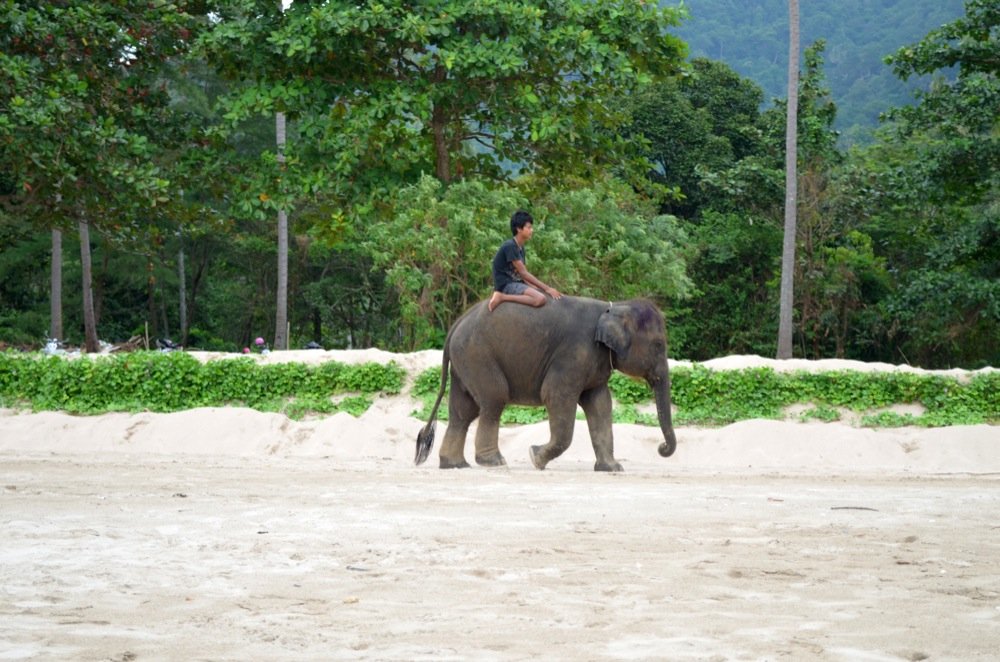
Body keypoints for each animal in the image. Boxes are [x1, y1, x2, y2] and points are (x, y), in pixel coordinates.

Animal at [414, 295, 678, 472]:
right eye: (658, 345)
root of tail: (457, 324)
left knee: (462, 412)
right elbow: (556, 395)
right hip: (478, 355)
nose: (661, 448)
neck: (614, 307)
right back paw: (494, 462)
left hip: (464, 362)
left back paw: (455, 464)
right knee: (493, 401)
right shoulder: (573, 354)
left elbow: (600, 404)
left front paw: (612, 469)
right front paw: (535, 457)